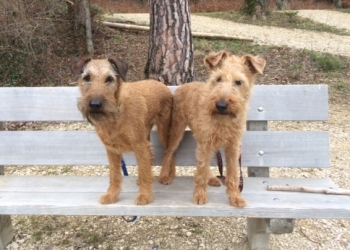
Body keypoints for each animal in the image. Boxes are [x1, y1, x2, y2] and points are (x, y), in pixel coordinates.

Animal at [72, 56, 173, 205]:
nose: (95, 104)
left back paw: (167, 176)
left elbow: (144, 169)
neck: (116, 113)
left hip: (163, 130)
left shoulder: (139, 145)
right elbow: (114, 174)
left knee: (169, 152)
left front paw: (144, 196)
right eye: (87, 78)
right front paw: (111, 195)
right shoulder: (112, 150)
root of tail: (161, 84)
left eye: (109, 79)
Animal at [159, 50, 266, 207]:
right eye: (218, 78)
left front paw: (235, 197)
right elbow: (201, 172)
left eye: (239, 82)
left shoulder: (232, 147)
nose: (221, 105)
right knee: (168, 152)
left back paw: (212, 178)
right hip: (177, 130)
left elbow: (232, 174)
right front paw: (199, 195)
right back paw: (164, 176)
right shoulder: (205, 143)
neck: (223, 119)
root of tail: (183, 85)